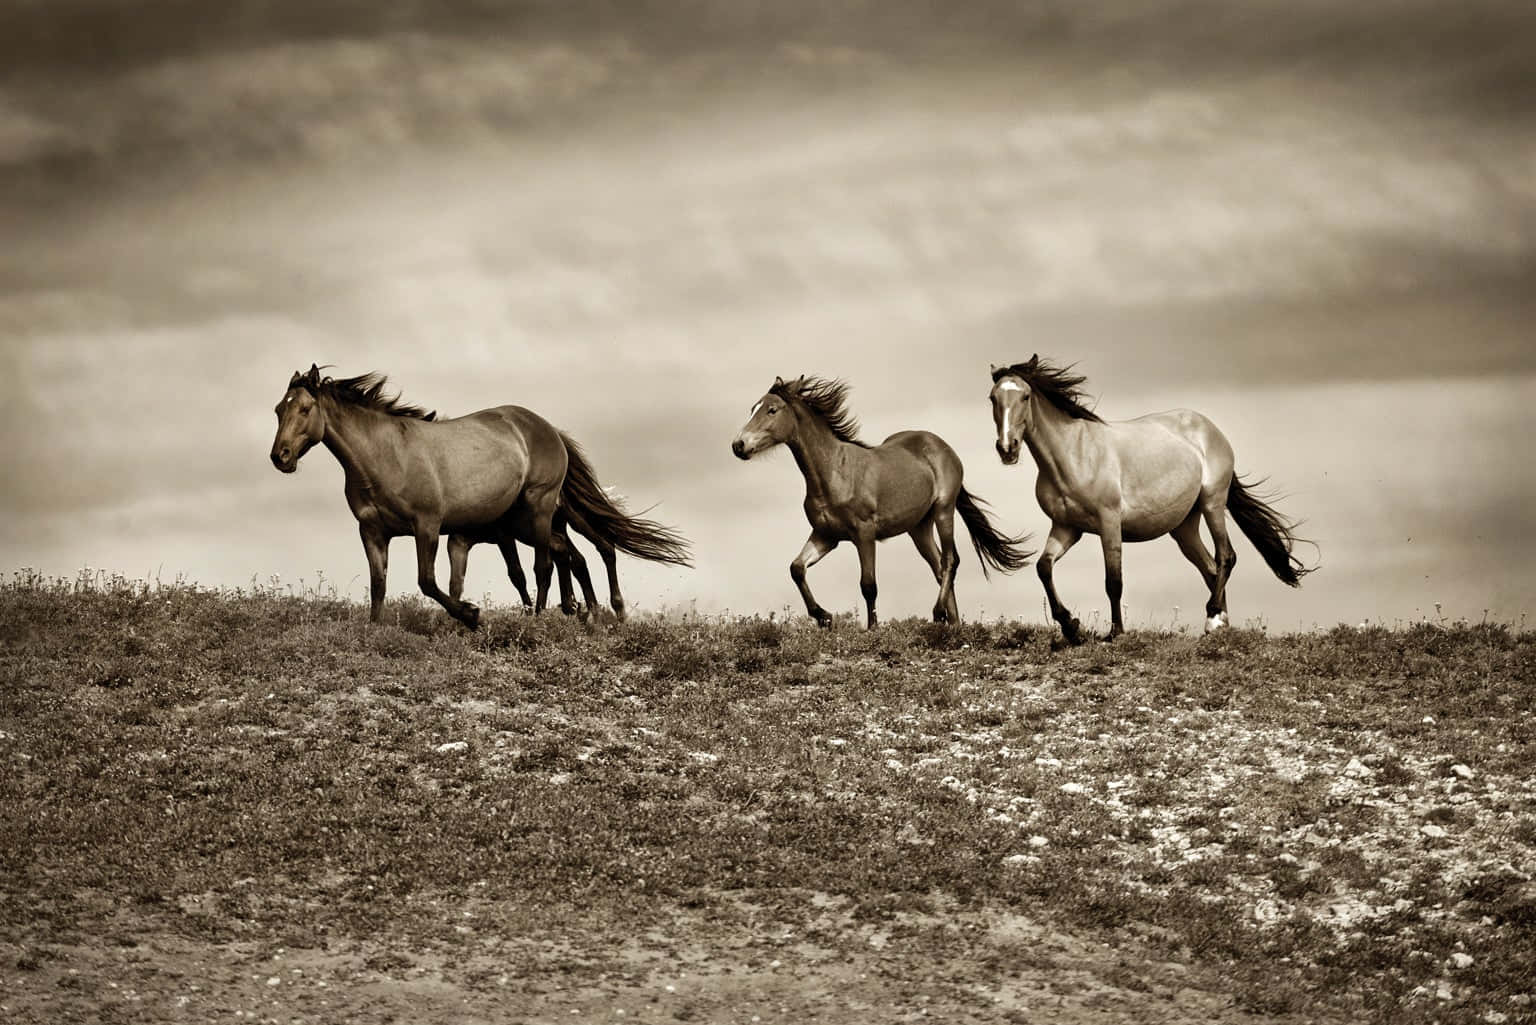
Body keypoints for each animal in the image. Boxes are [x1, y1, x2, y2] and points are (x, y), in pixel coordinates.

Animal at [270, 366, 690, 627]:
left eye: (305, 409)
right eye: (278, 410)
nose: (280, 457)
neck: (384, 456)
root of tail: (547, 427)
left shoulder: (428, 526)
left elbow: (428, 582)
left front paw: (471, 616)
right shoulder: (373, 532)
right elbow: (379, 584)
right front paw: (375, 628)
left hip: (539, 511)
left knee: (548, 564)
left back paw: (545, 616)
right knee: (567, 557)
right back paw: (581, 611)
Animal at [732, 375, 1032, 628]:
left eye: (772, 410)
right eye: (752, 408)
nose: (738, 445)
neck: (834, 471)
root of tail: (942, 446)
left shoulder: (864, 534)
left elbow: (868, 584)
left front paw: (872, 627)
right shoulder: (825, 536)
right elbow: (797, 569)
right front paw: (824, 617)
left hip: (943, 511)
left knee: (950, 560)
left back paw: (938, 615)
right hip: (918, 528)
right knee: (938, 566)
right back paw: (953, 623)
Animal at [988, 355, 1314, 643]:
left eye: (1026, 396)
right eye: (992, 398)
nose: (1007, 448)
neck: (1074, 454)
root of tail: (1210, 429)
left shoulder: (1109, 522)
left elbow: (1113, 581)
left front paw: (1115, 633)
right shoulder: (1066, 527)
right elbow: (1044, 567)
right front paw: (1071, 627)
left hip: (1213, 502)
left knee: (1226, 556)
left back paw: (1212, 619)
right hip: (1184, 528)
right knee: (1210, 567)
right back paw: (1220, 622)